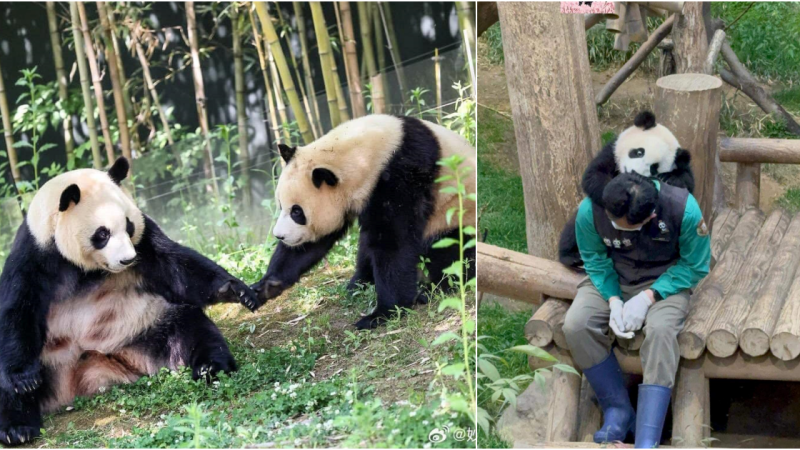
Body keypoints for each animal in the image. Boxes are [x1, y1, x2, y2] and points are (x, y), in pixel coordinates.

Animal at [0, 157, 260, 442]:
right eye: (102, 234)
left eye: (128, 226)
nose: (127, 260)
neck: (86, 269)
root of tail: (80, 378)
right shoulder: (34, 254)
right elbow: (18, 308)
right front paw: (25, 380)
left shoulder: (144, 241)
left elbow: (177, 267)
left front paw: (236, 290)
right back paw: (16, 429)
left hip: (142, 329)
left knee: (188, 327)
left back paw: (210, 368)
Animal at [253, 114, 476, 328]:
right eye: (281, 205)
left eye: (297, 212)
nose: (280, 236)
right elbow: (313, 244)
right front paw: (265, 287)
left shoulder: (403, 175)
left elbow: (393, 242)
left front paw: (382, 313)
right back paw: (359, 282)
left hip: (453, 216)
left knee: (452, 253)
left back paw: (432, 289)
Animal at [556, 111, 692, 268]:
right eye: (639, 152)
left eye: (654, 168)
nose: (633, 172)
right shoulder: (611, 150)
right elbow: (594, 175)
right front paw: (617, 198)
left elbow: (686, 187)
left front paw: (669, 179)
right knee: (573, 228)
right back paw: (571, 256)